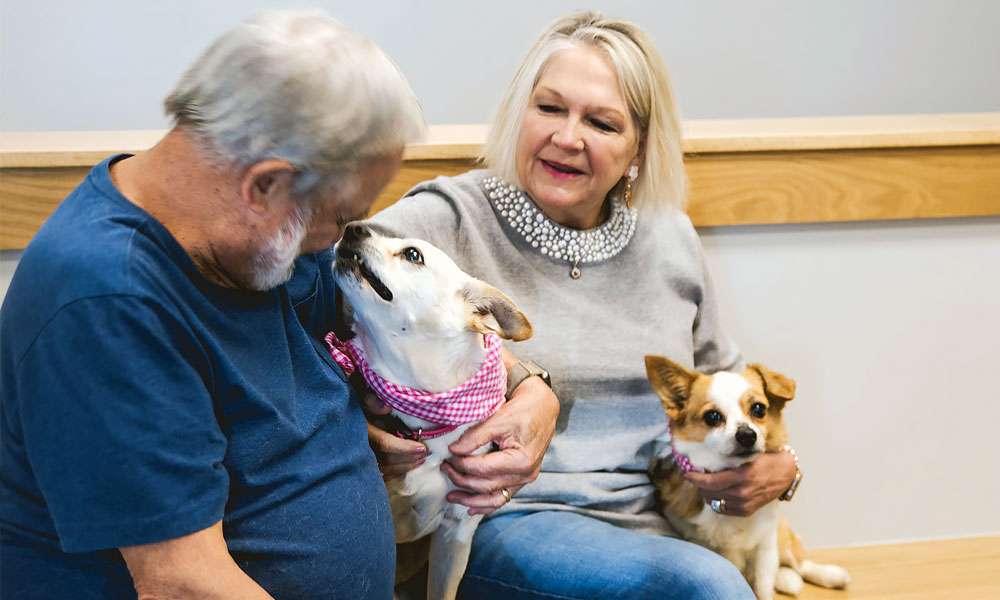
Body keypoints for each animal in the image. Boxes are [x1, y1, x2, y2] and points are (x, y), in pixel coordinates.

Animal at [644, 358, 848, 596]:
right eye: (712, 417)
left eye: (758, 409)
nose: (747, 435)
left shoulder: (766, 546)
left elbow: (764, 589)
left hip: (781, 535)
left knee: (798, 562)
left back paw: (831, 575)